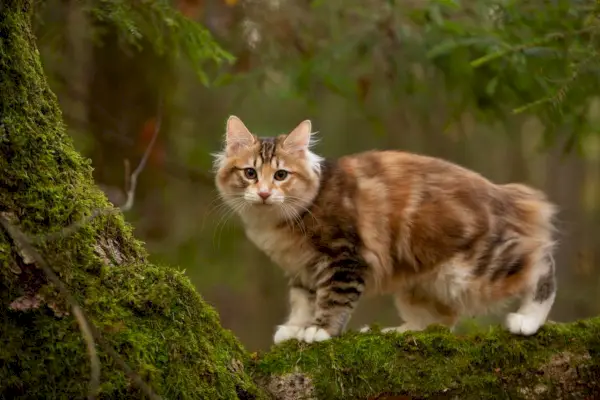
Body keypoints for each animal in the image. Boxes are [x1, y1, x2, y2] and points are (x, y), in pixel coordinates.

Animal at [212, 115, 556, 344]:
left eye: (281, 175)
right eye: (250, 173)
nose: (264, 193)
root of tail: (503, 193)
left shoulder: (344, 257)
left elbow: (332, 298)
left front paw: (320, 330)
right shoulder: (301, 268)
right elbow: (301, 301)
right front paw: (295, 327)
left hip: (473, 270)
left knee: (542, 262)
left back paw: (528, 319)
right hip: (421, 285)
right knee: (441, 320)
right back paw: (396, 332)